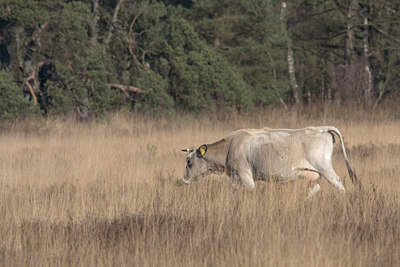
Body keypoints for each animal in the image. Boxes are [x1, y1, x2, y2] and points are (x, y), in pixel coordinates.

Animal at [180, 127, 360, 199]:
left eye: (189, 161)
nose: (184, 180)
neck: (230, 146)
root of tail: (321, 129)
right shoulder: (235, 178)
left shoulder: (246, 176)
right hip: (314, 174)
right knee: (314, 189)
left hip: (325, 169)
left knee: (339, 184)